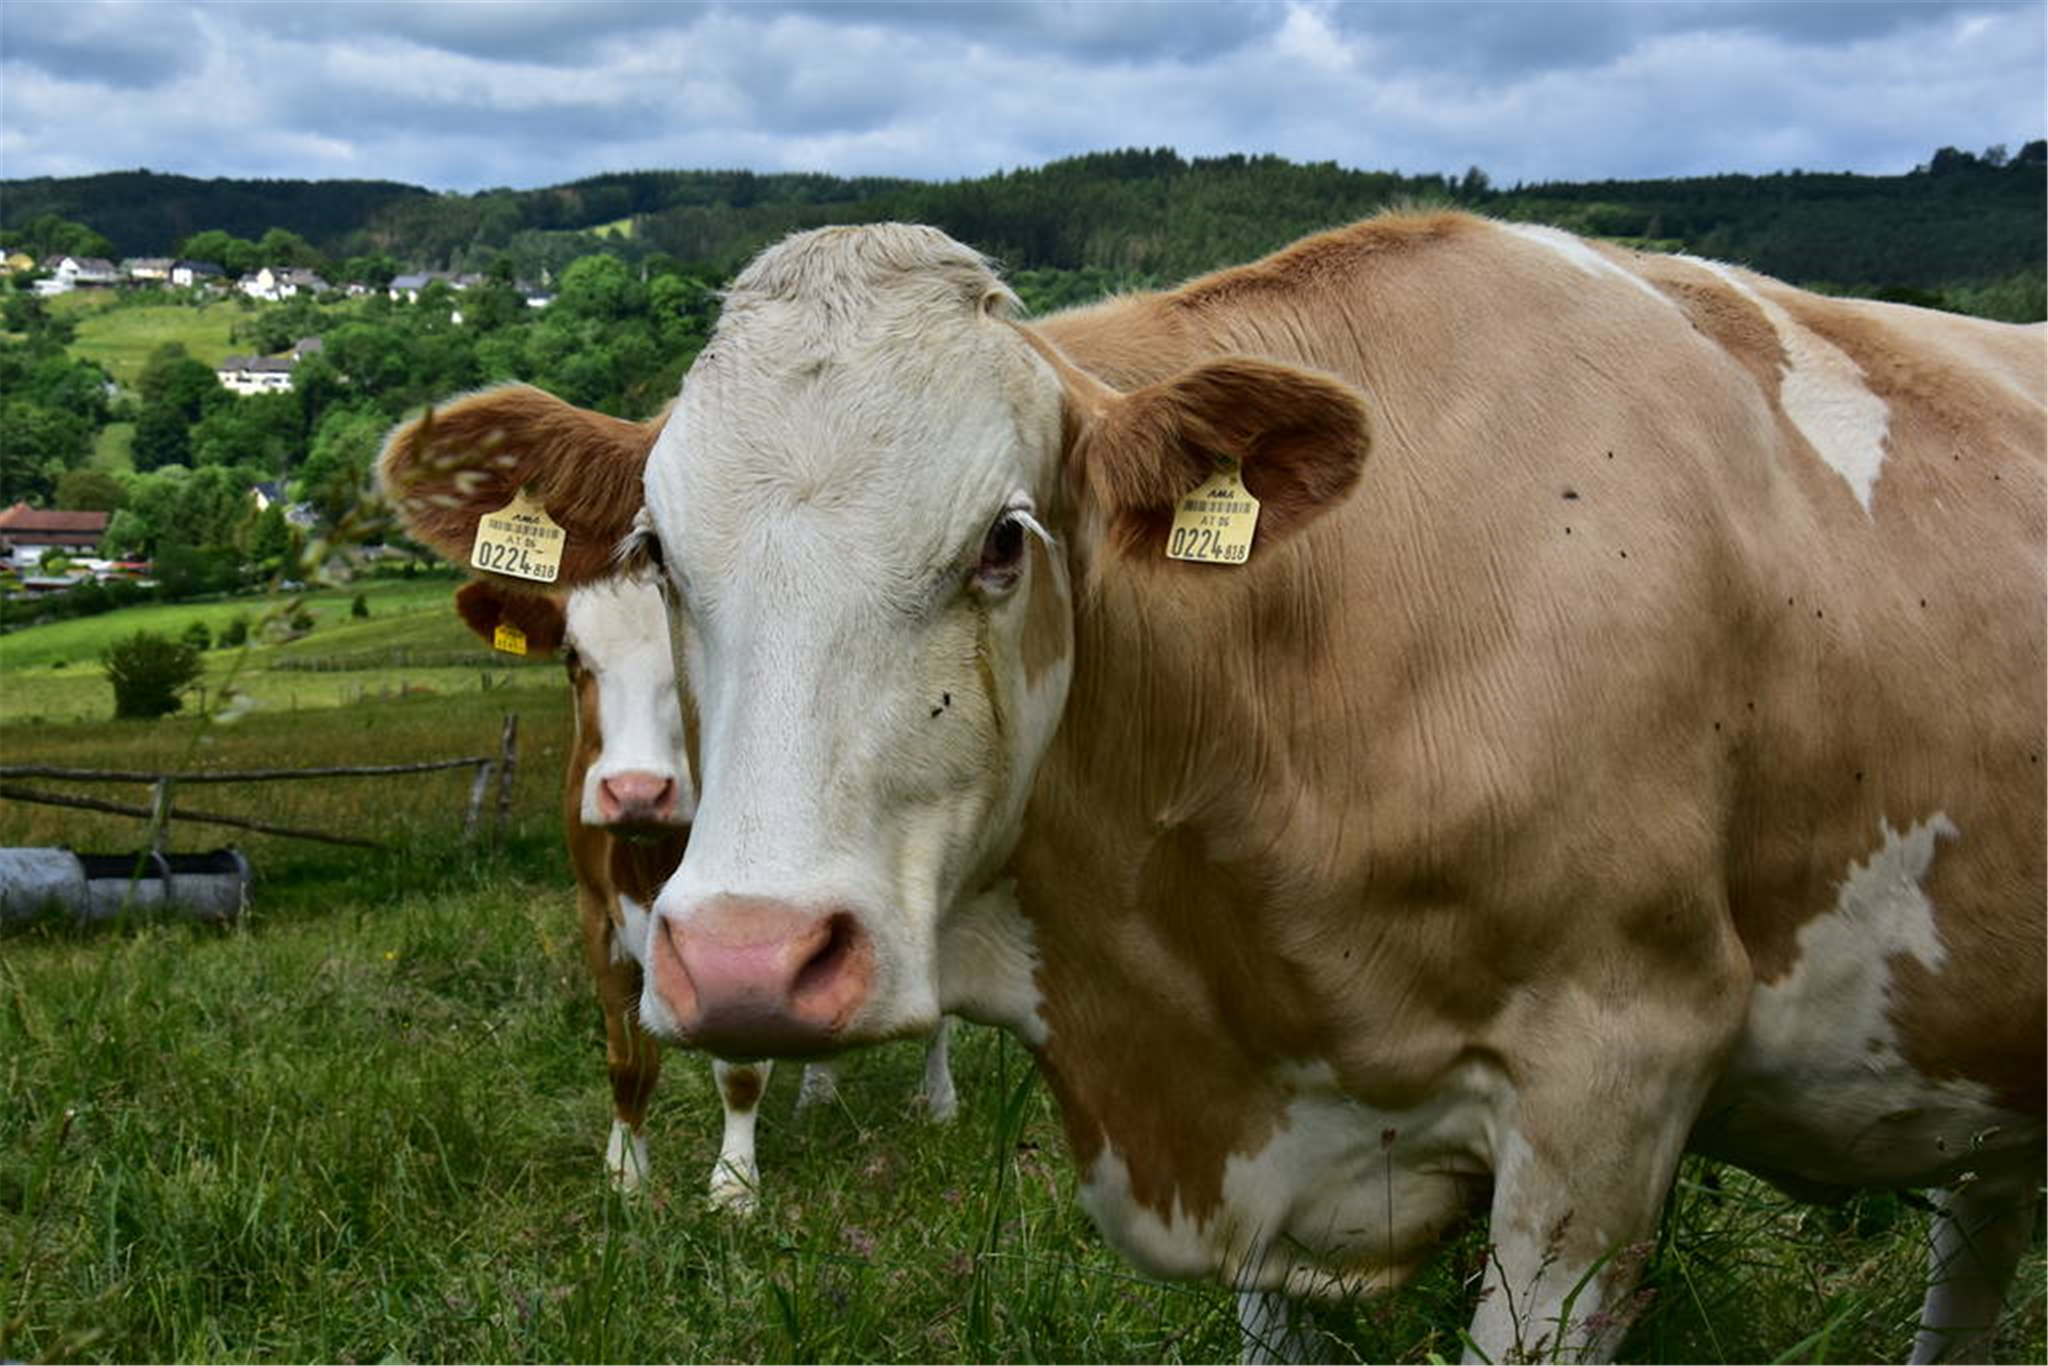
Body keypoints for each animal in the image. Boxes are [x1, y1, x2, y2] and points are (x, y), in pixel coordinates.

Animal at [452, 573, 954, 1204]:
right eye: (573, 658)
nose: (637, 791)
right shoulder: (595, 913)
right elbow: (627, 1061)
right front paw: (626, 1175)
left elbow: (740, 1070)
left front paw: (733, 1187)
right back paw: (817, 1095)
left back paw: (940, 1101)